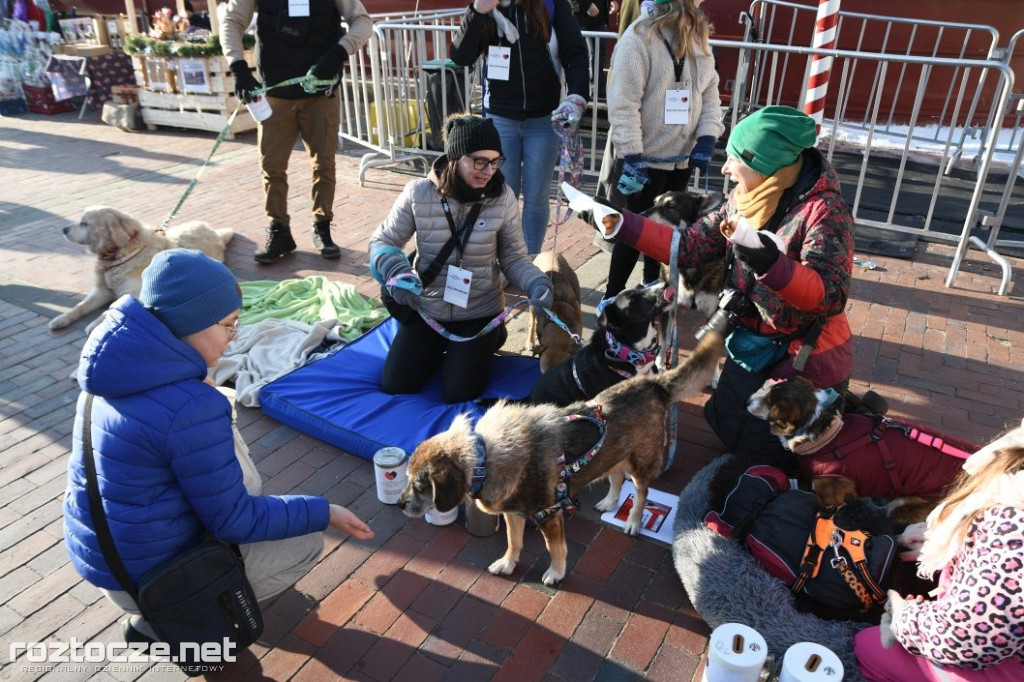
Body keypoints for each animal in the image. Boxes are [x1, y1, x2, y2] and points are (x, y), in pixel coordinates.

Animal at [51, 205, 234, 333]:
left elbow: (112, 308)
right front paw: (61, 319)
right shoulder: (101, 291)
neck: (119, 254)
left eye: (84, 223)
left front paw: (94, 325)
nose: (63, 229)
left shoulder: (134, 294)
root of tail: (216, 234)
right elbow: (80, 306)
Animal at [395, 327, 724, 581]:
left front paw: (555, 573)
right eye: (407, 478)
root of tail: (653, 382)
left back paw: (632, 520)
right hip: (613, 452)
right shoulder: (514, 513)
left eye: (422, 486)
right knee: (616, 476)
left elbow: (555, 549)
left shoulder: (548, 515)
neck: (485, 457)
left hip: (641, 462)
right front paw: (508, 564)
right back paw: (609, 501)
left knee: (641, 493)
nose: (399, 504)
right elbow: (513, 543)